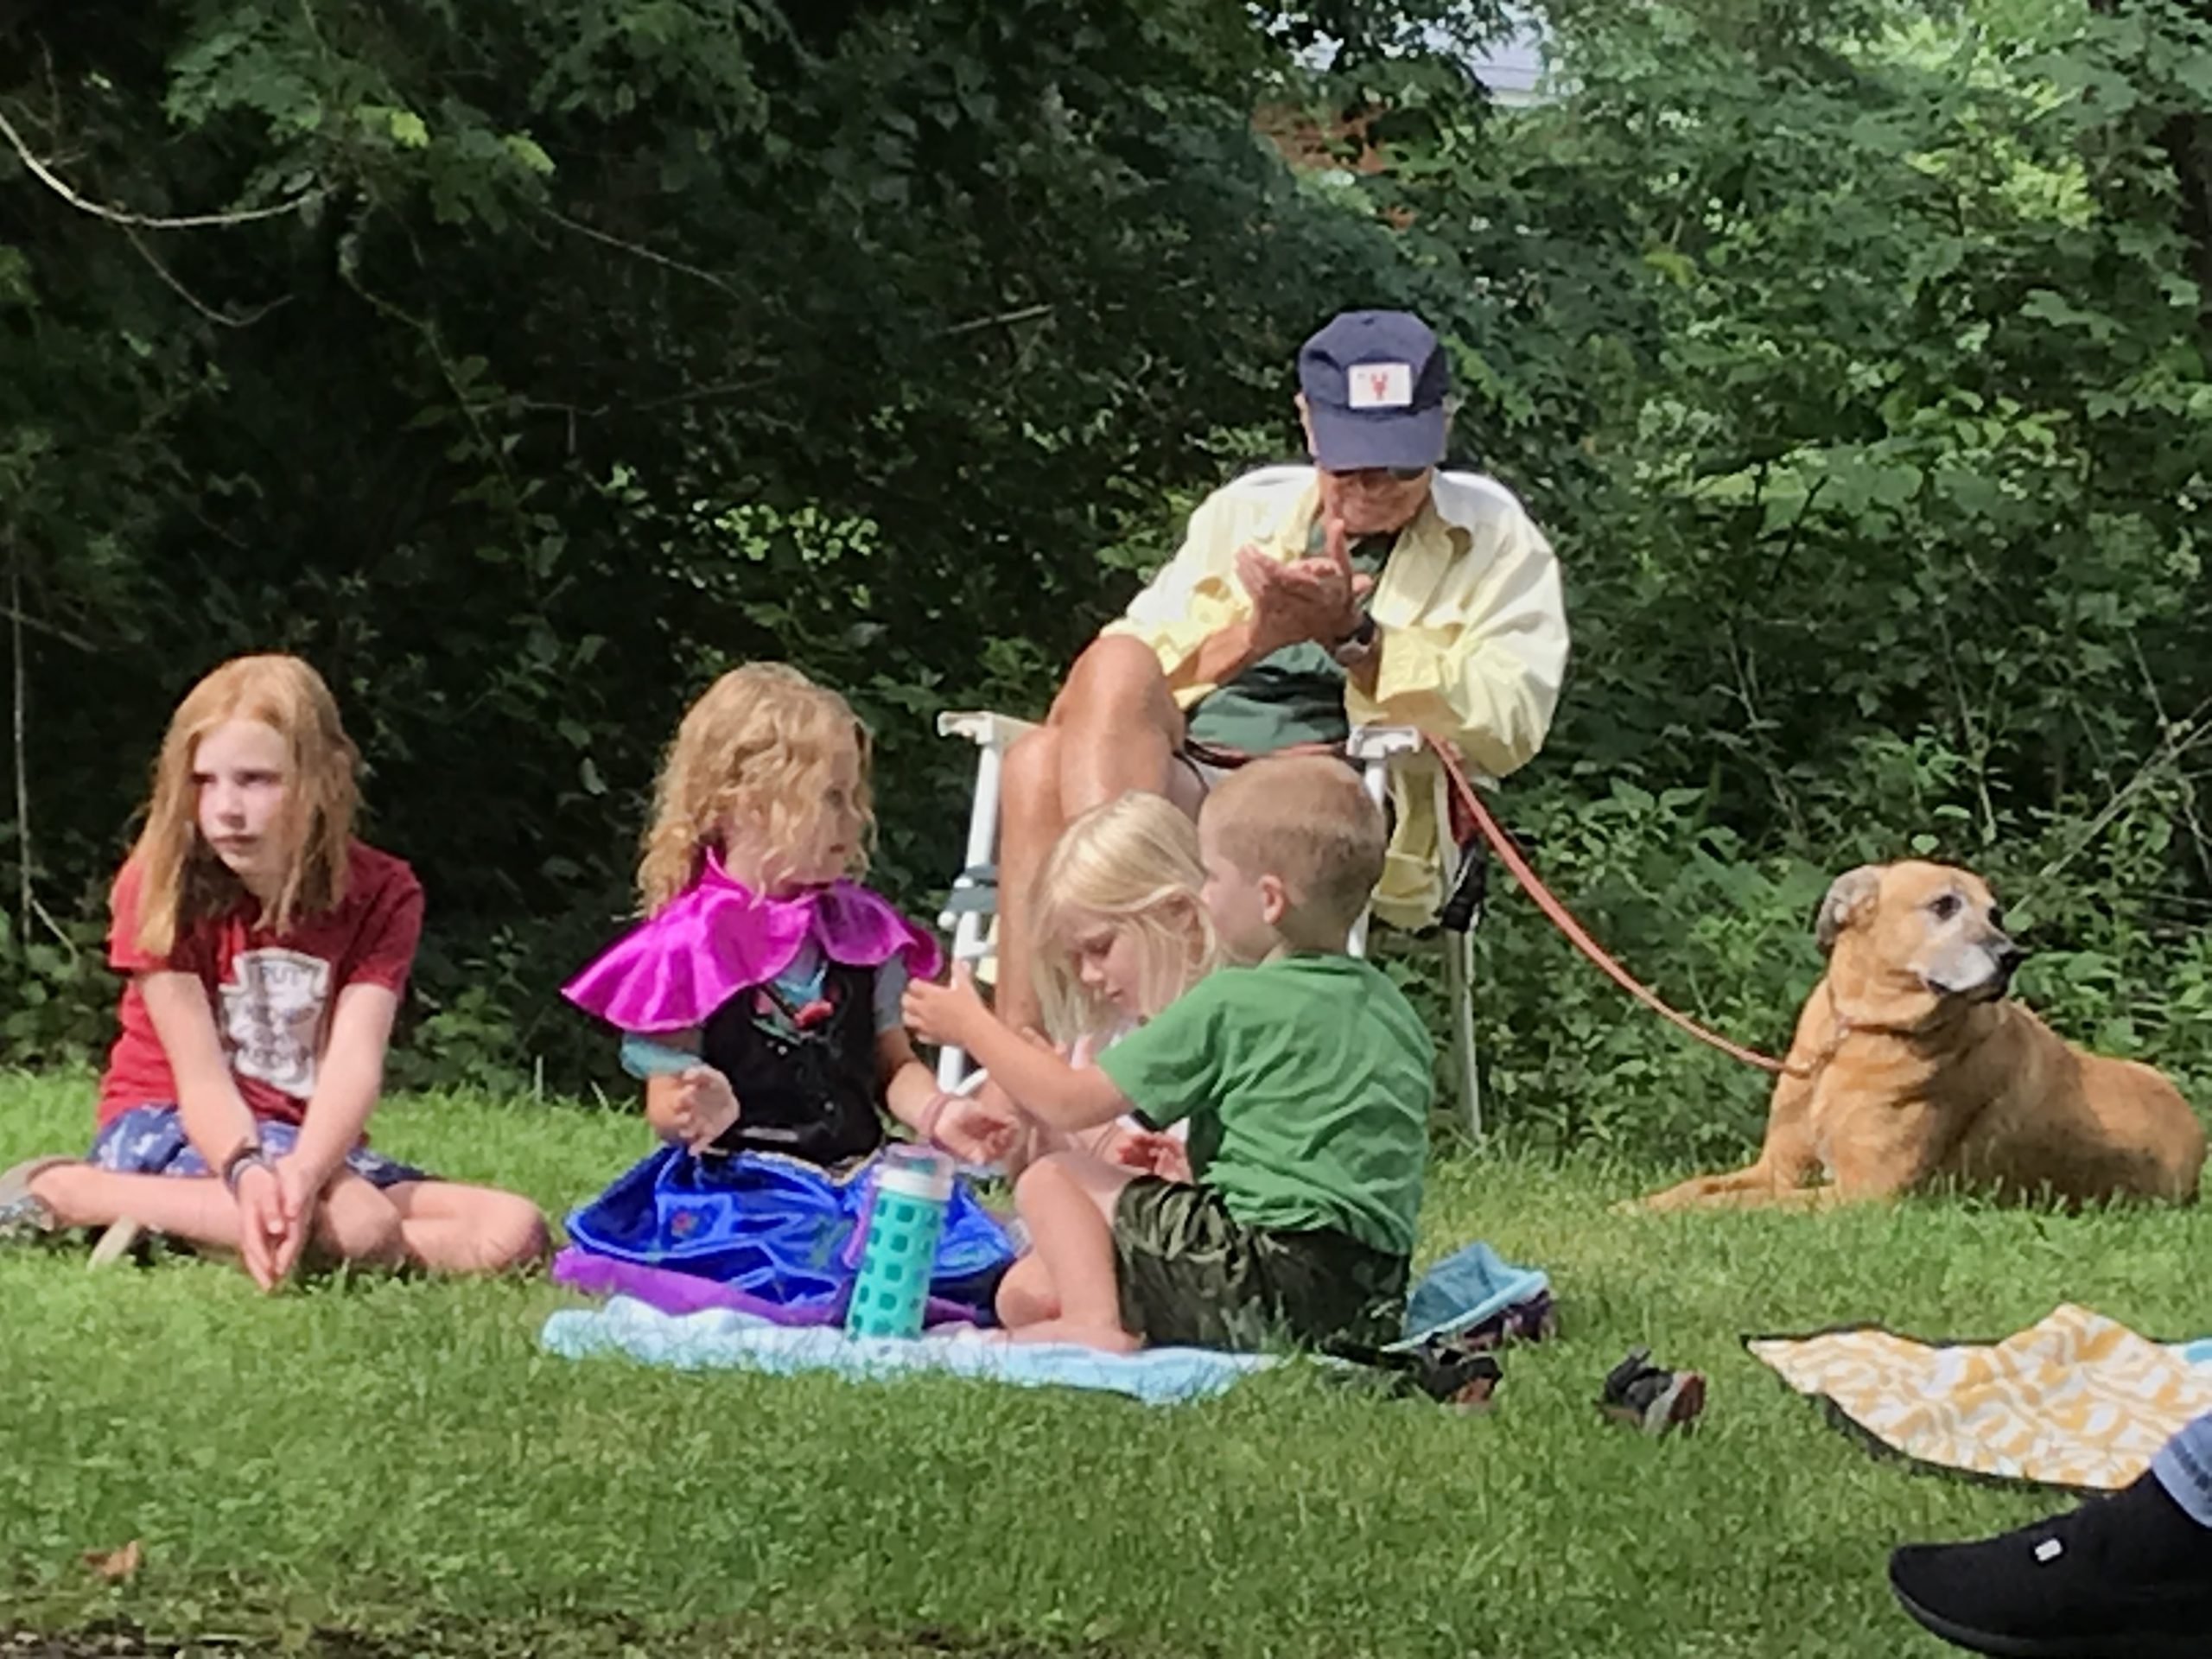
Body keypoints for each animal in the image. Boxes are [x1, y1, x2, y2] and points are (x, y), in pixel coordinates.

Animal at [1637, 862, 2202, 1211]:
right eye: (1944, 905)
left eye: (1994, 913)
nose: (2011, 955)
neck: (1861, 1033)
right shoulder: (1778, 1167)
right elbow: (1698, 1186)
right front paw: (1638, 1207)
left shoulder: (1863, 1194)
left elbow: (1738, 1203)